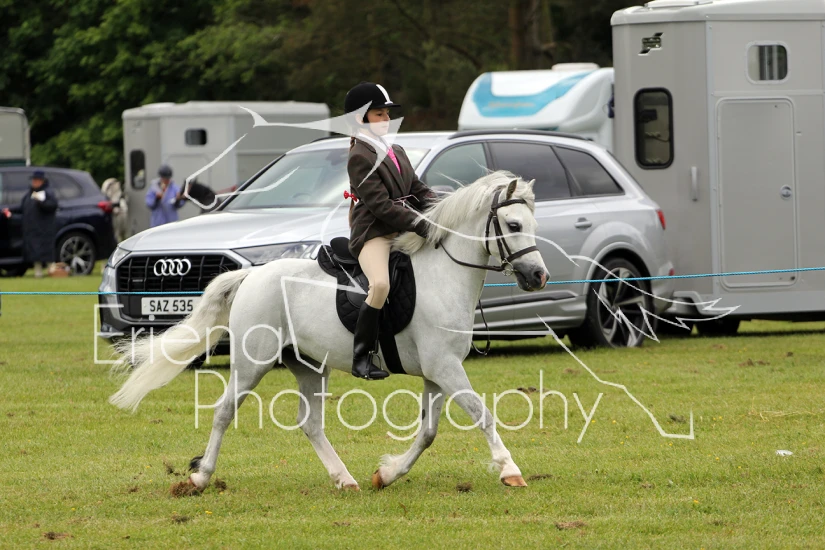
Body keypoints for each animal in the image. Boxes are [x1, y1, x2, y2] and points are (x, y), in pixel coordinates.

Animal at [109, 171, 550, 492]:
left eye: (533, 224)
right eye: (513, 224)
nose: (539, 276)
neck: (444, 276)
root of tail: (252, 275)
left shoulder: (438, 371)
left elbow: (427, 432)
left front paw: (386, 474)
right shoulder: (444, 367)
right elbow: (482, 415)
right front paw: (509, 470)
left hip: (309, 365)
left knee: (310, 423)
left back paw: (345, 479)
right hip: (253, 363)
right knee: (224, 411)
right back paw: (200, 477)